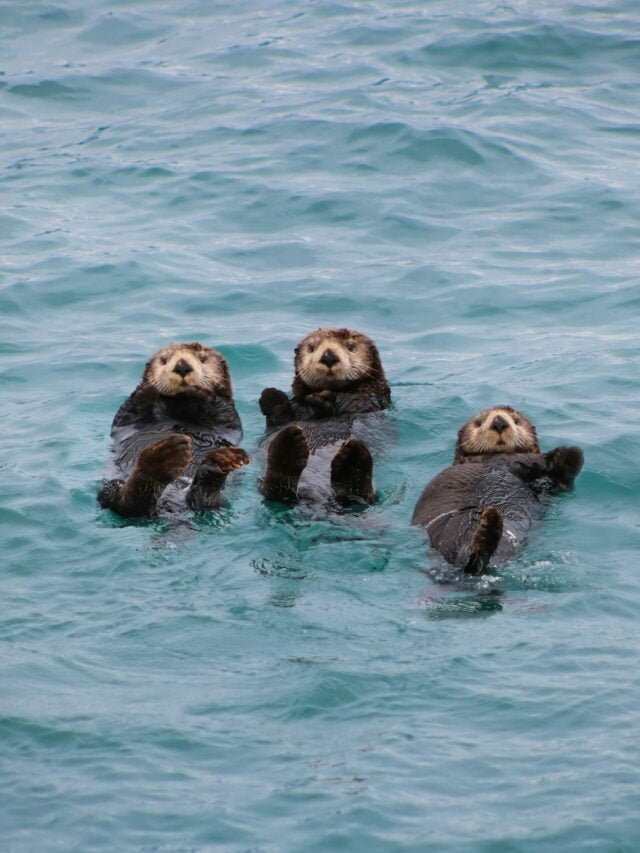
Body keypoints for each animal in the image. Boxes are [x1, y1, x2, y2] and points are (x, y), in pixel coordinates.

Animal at [98, 342, 249, 518]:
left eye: (203, 359)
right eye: (164, 360)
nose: (182, 366)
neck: (180, 408)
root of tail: (171, 503)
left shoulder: (229, 418)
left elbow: (221, 410)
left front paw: (198, 392)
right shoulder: (125, 420)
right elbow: (129, 411)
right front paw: (147, 388)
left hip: (220, 502)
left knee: (203, 500)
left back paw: (217, 464)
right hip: (111, 486)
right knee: (126, 504)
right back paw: (163, 458)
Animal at [258, 328, 391, 506]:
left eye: (350, 346)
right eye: (312, 347)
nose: (328, 356)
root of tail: (317, 496)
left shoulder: (369, 399)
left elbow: (353, 401)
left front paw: (321, 400)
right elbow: (281, 417)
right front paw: (271, 396)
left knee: (362, 496)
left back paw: (352, 459)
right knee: (276, 490)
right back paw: (289, 445)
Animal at [411, 406, 583, 574]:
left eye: (516, 420)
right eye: (479, 422)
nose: (499, 422)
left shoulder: (547, 488)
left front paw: (565, 457)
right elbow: (520, 460)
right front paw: (558, 456)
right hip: (452, 531)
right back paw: (488, 529)